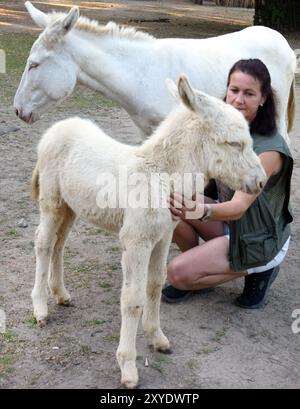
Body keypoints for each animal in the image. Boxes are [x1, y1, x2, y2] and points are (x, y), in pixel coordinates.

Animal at [30, 75, 264, 386]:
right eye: (234, 143)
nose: (261, 182)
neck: (160, 175)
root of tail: (58, 127)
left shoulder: (163, 236)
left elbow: (154, 284)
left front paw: (157, 338)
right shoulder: (136, 241)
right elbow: (132, 299)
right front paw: (128, 366)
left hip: (71, 205)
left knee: (59, 243)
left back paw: (60, 294)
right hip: (52, 200)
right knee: (43, 242)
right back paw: (40, 309)